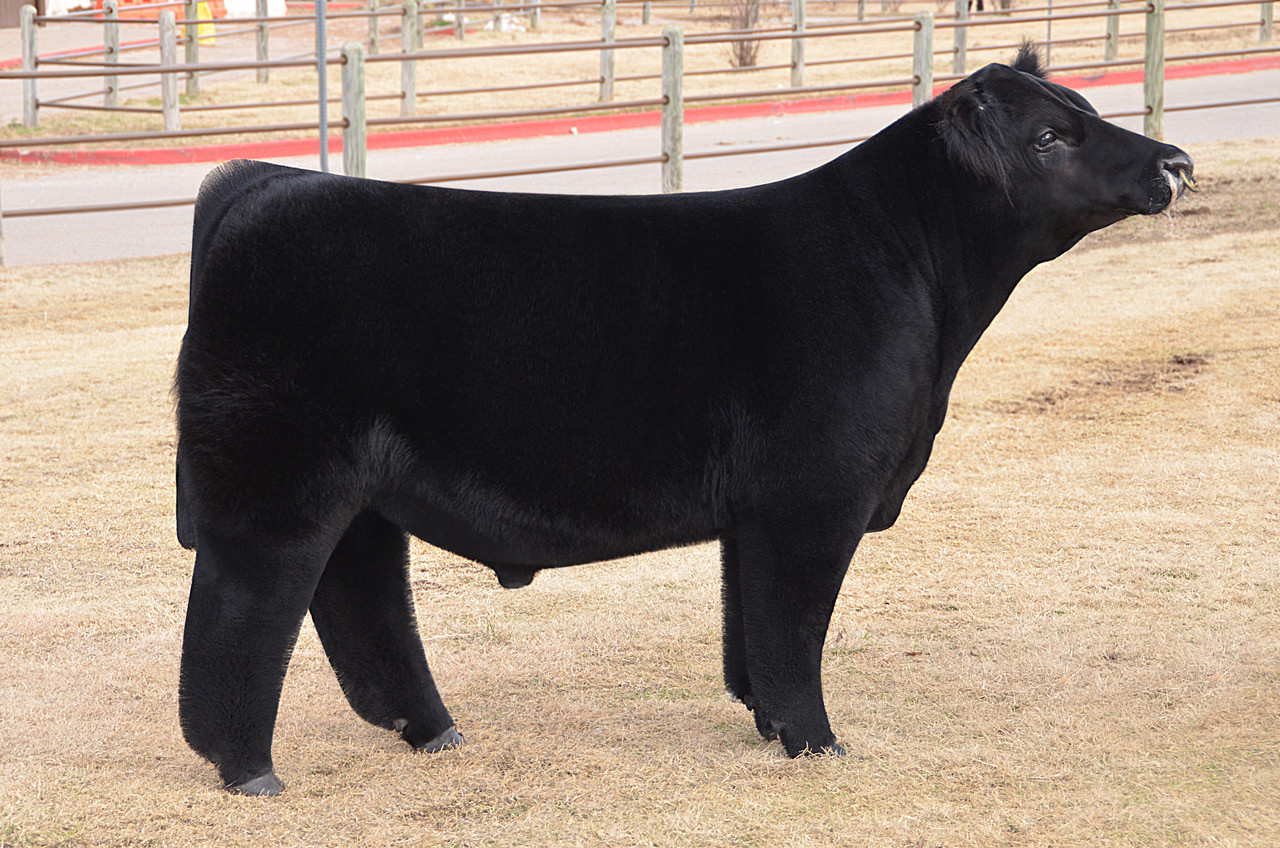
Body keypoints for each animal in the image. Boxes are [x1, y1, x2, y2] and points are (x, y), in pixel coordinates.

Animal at [174, 45, 1194, 795]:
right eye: (1051, 135)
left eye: (1085, 107)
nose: (1175, 161)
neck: (916, 276)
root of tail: (268, 182)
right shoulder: (812, 496)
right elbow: (794, 630)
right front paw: (818, 743)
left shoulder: (758, 514)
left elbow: (752, 632)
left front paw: (771, 728)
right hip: (275, 480)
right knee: (243, 613)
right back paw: (249, 769)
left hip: (361, 492)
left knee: (361, 600)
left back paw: (432, 732)